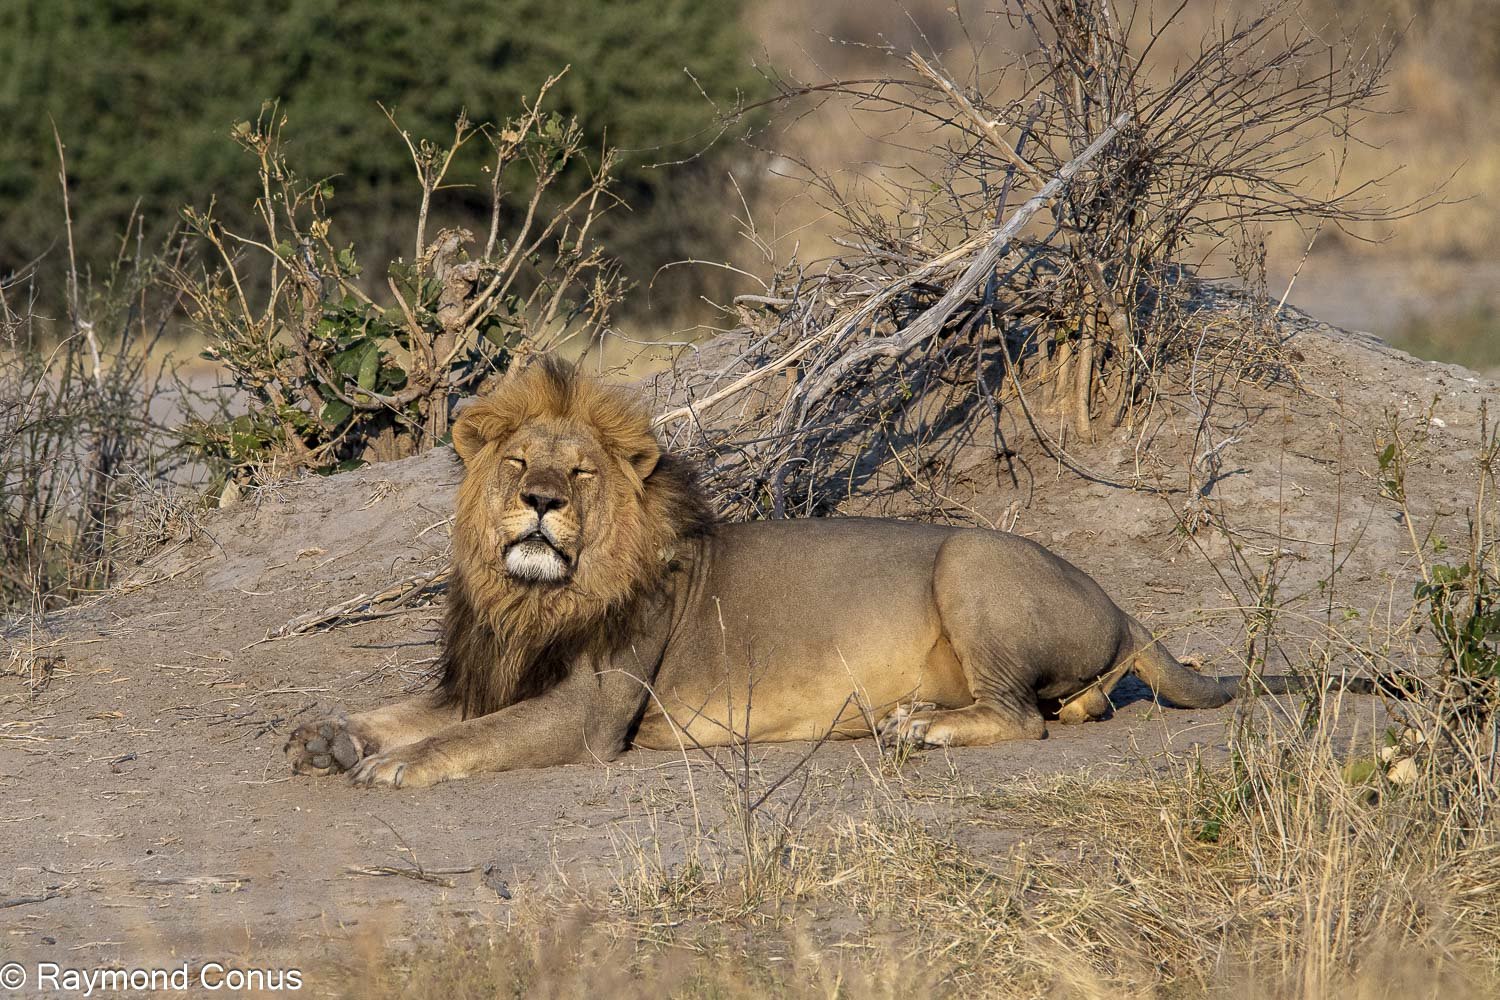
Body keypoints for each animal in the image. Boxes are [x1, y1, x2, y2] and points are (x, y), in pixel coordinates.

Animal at [285, 358, 1248, 789]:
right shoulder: (490, 672)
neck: (533, 598)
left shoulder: (589, 710)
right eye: (520, 462)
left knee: (1020, 719)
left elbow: (470, 737)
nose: (542, 501)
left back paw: (923, 726)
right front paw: (331, 738)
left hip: (972, 558)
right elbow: (409, 711)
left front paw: (390, 766)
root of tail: (1121, 605)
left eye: (582, 473)